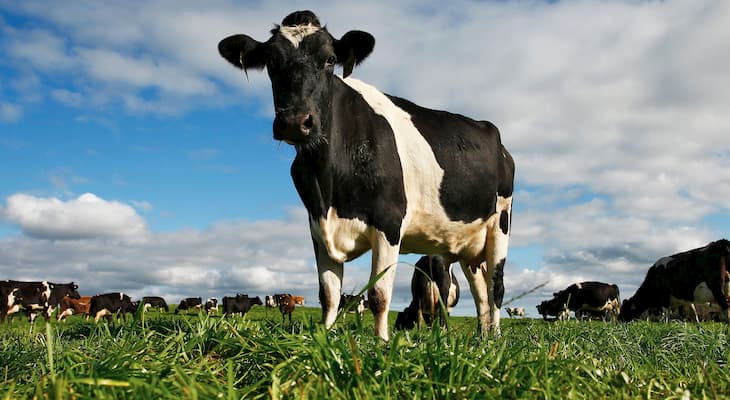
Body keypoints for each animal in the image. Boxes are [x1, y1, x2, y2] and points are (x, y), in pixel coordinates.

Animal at [218, 10, 515, 340]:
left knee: (496, 287)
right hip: (467, 244)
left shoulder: (389, 222)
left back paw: (495, 337)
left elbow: (379, 294)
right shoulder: (317, 227)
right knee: (480, 291)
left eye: (329, 60)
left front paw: (382, 342)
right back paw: (482, 337)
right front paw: (326, 338)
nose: (295, 121)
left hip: (501, 222)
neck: (327, 182)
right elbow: (329, 294)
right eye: (271, 61)